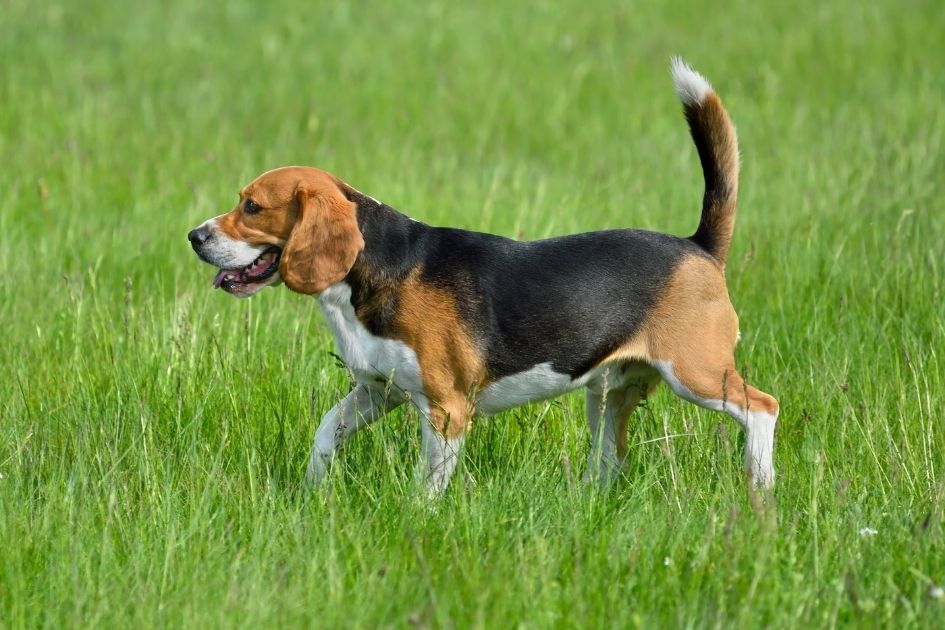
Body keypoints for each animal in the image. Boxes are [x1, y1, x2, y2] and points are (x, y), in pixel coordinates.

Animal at [188, 58, 780, 494]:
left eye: (252, 207)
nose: (194, 236)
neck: (371, 271)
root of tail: (697, 246)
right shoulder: (377, 391)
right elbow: (325, 433)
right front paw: (314, 490)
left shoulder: (447, 410)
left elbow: (428, 483)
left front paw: (416, 520)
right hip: (610, 394)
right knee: (611, 459)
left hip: (695, 373)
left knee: (763, 410)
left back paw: (761, 488)